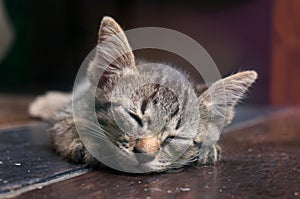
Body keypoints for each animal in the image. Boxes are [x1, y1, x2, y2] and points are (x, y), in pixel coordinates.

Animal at [28, 16, 258, 173]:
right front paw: (87, 142)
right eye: (134, 117)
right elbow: (66, 124)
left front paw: (208, 149)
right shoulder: (69, 112)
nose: (145, 155)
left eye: (174, 137)